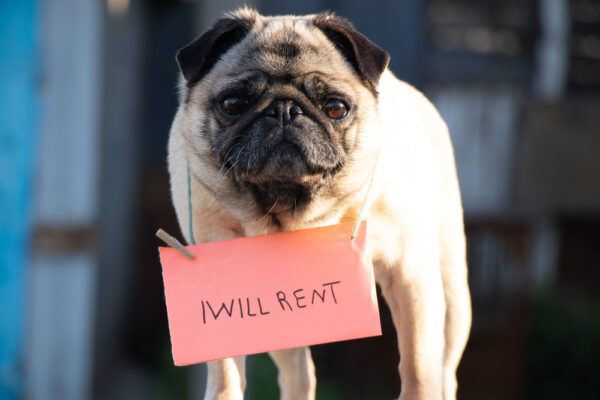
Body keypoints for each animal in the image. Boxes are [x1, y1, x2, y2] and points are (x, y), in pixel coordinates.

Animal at [166, 7, 472, 400]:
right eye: (233, 104)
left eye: (335, 108)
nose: (284, 111)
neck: (295, 210)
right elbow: (225, 371)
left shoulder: (411, 276)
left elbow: (419, 365)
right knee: (298, 372)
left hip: (453, 294)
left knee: (444, 368)